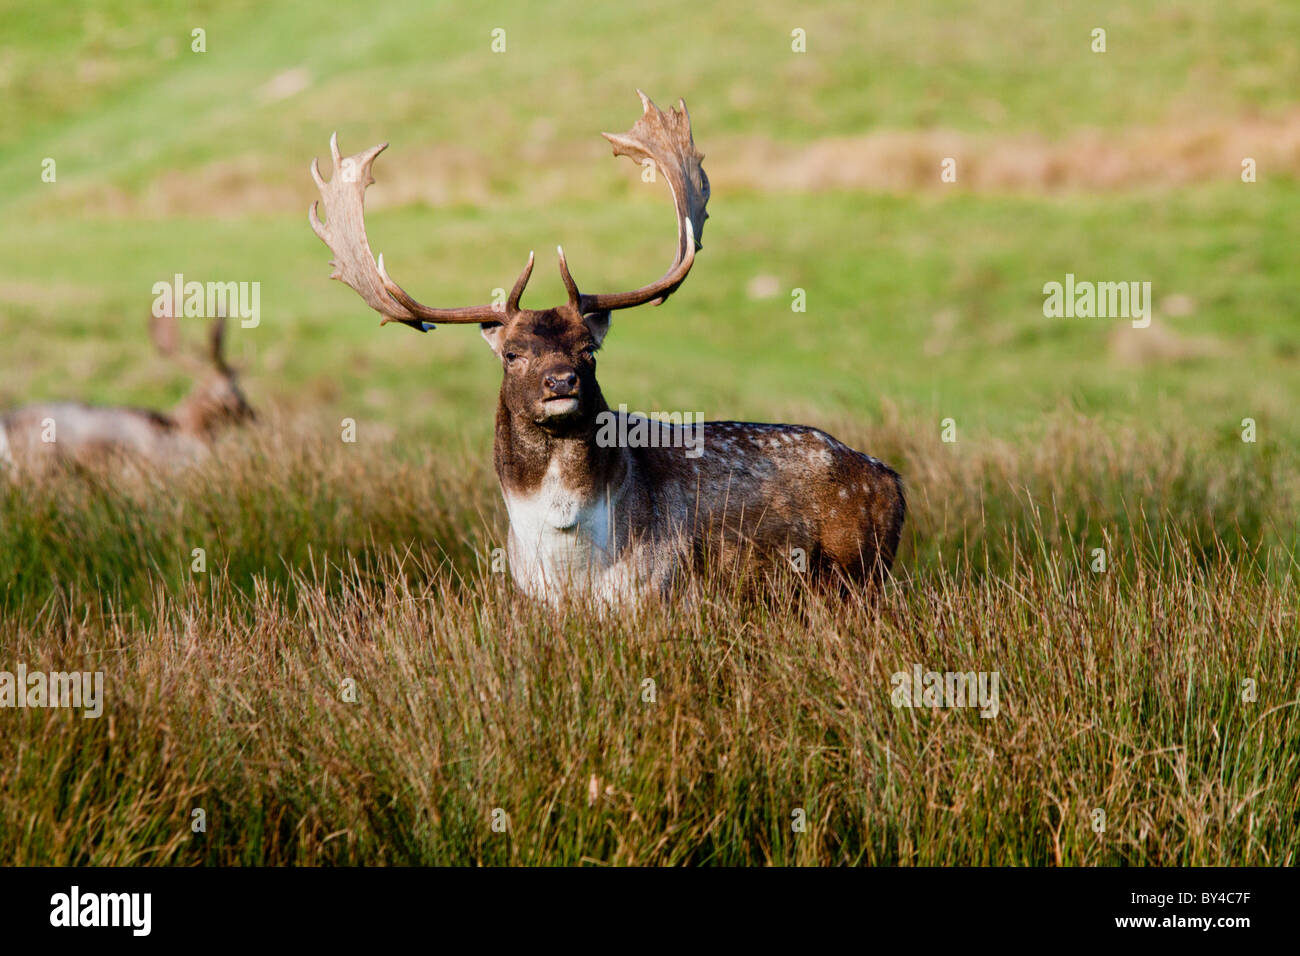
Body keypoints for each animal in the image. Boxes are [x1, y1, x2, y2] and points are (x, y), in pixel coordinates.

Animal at [312, 91, 904, 606]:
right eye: (512, 353)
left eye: (588, 350)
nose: (560, 382)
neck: (572, 564)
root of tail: (892, 480)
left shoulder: (661, 593)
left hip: (861, 572)